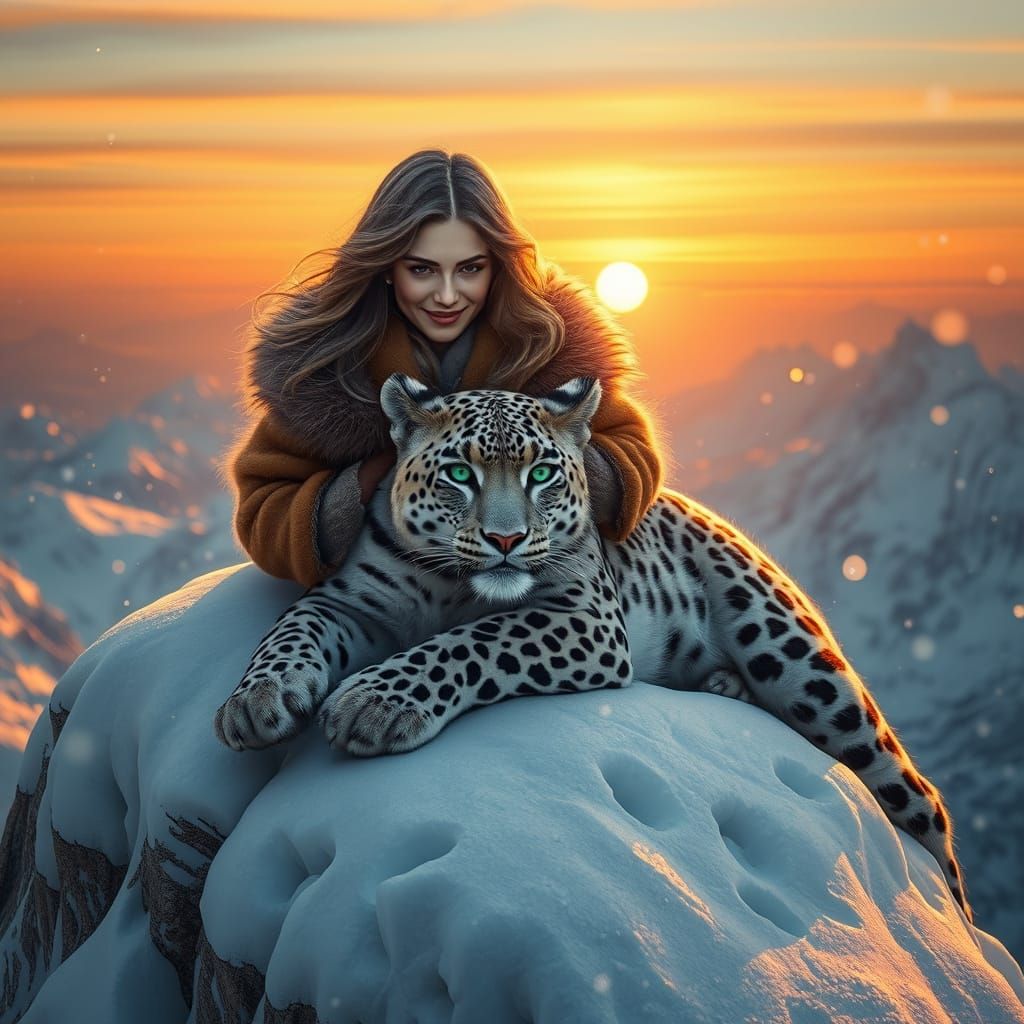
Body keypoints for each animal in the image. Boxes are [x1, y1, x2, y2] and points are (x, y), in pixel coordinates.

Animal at [214, 373, 971, 921]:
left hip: (805, 668)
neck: (448, 584)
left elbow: (472, 639)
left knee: (921, 800)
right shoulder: (343, 601)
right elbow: (290, 633)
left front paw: (375, 703)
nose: (507, 539)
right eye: (459, 472)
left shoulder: (584, 618)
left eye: (543, 473)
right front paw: (256, 701)